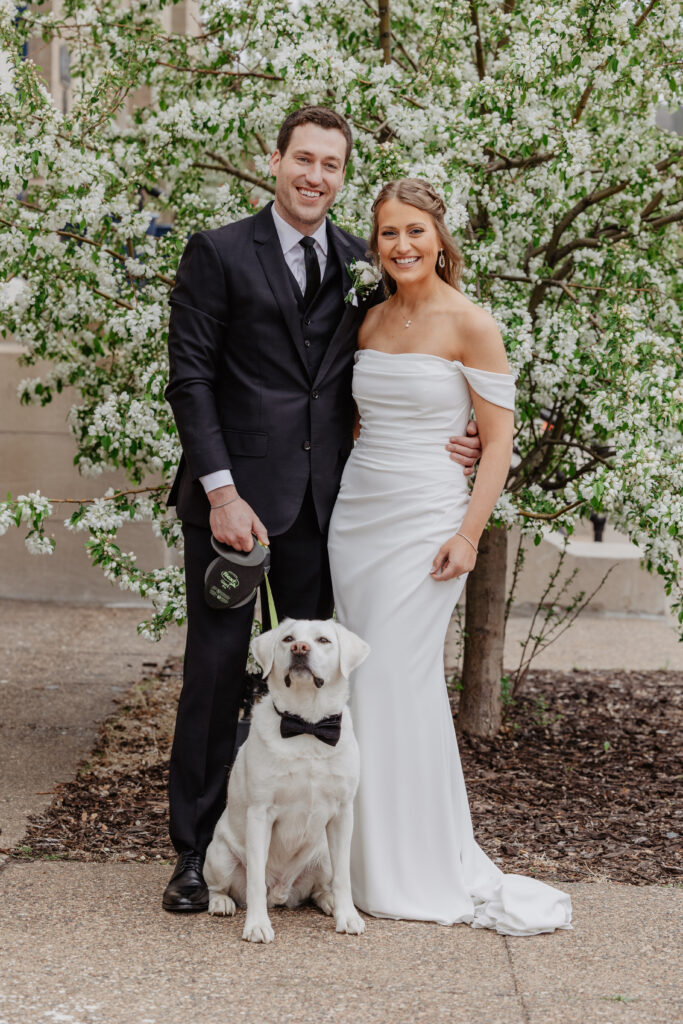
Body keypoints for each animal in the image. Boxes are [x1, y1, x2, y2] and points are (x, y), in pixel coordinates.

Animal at [204, 614, 368, 942]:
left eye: (323, 640)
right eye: (288, 639)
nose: (300, 648)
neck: (307, 724)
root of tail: (280, 893)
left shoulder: (343, 814)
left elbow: (344, 877)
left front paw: (347, 916)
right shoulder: (260, 814)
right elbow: (255, 879)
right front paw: (256, 924)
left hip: (323, 856)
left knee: (320, 888)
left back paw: (329, 902)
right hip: (219, 855)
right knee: (220, 886)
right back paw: (221, 903)